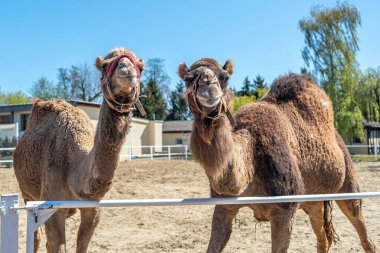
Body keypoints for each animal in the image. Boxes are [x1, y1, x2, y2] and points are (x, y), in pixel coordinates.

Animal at [12, 48, 145, 253]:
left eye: (140, 67)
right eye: (104, 66)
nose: (126, 70)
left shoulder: (93, 210)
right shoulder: (51, 207)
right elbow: (56, 245)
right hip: (26, 193)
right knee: (37, 236)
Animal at [178, 58, 378, 252]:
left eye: (225, 77)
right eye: (188, 79)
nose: (208, 85)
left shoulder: (284, 208)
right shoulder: (224, 206)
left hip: (346, 178)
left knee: (361, 227)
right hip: (312, 199)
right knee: (323, 238)